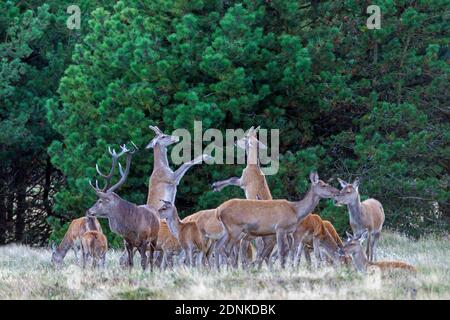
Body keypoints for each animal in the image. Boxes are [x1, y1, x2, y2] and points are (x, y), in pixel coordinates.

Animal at [87, 142, 159, 270]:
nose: (89, 211)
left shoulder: (144, 240)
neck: (131, 227)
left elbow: (143, 261)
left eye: (100, 201)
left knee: (150, 259)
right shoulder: (127, 242)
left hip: (154, 238)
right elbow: (130, 263)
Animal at [211, 126, 274, 268]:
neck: (253, 166)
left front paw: (215, 186)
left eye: (245, 136)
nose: (235, 142)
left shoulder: (242, 182)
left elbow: (232, 178)